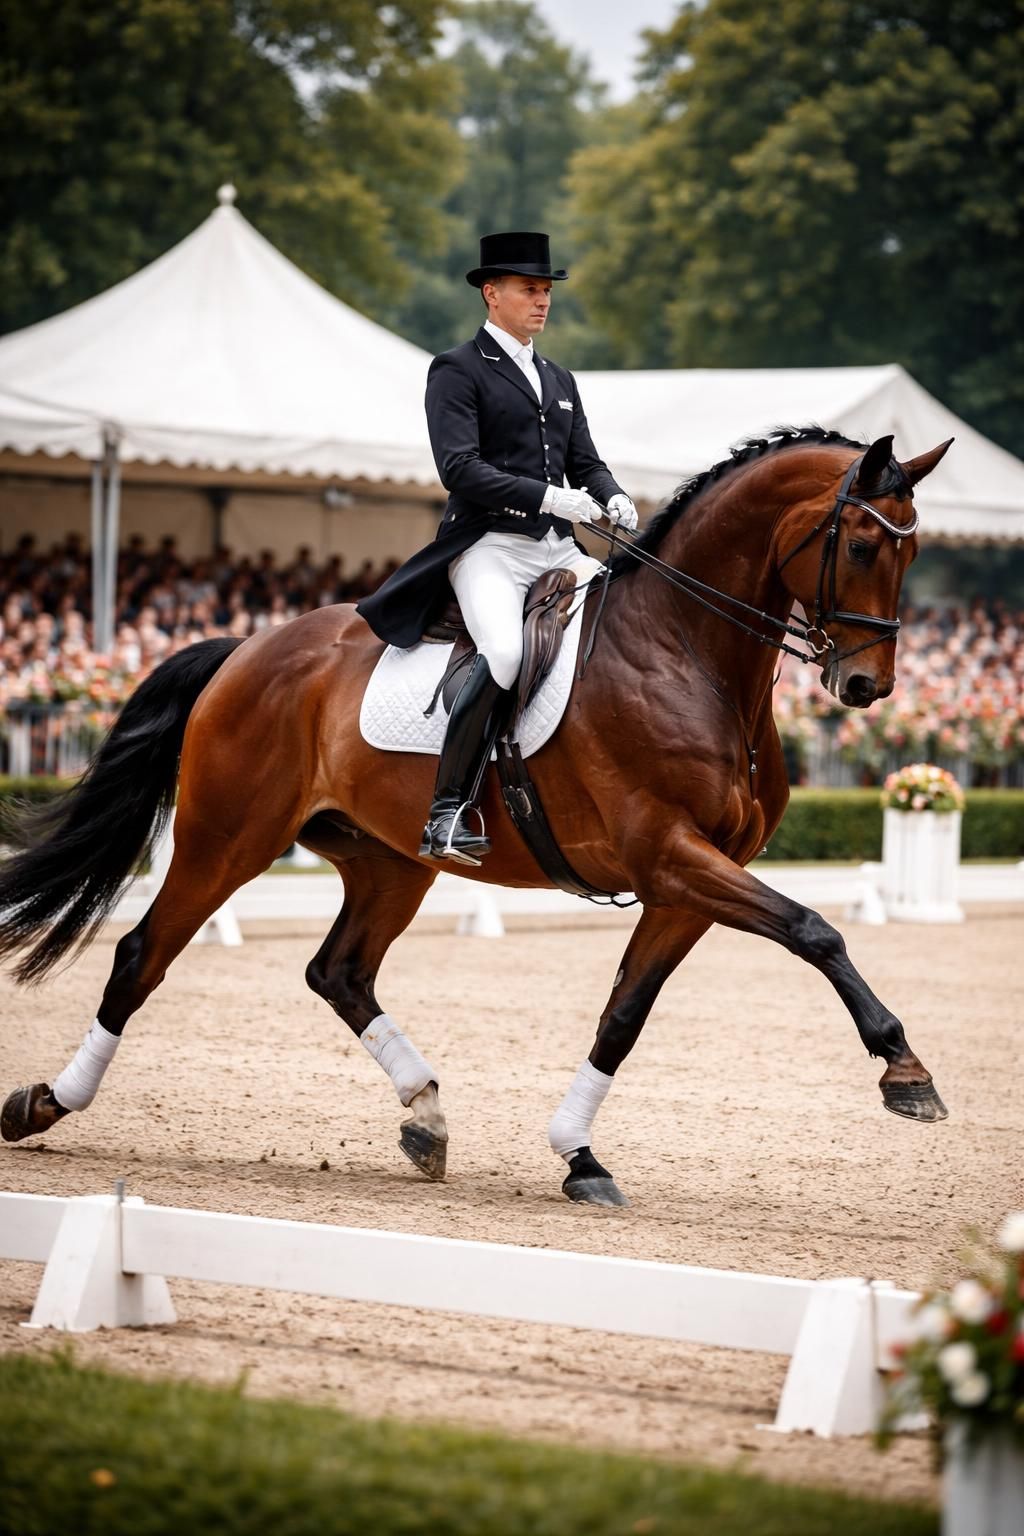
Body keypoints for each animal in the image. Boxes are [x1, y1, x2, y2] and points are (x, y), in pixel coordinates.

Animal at [0, 427, 952, 1207]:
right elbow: (815, 928)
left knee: (338, 972)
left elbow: (624, 1014)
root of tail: (248, 647)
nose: (865, 686)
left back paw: (425, 1117)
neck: (689, 653)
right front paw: (904, 1070)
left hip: (390, 862)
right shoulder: (671, 855)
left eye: (914, 557)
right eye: (861, 543)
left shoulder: (686, 884)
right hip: (227, 837)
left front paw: (579, 1156)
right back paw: (46, 1103)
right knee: (142, 954)